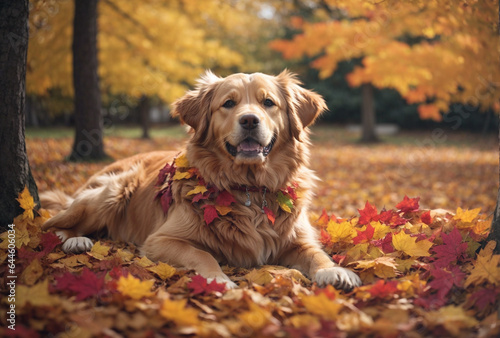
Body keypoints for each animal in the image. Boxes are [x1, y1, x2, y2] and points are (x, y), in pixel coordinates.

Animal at [41, 70, 362, 290]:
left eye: (268, 102)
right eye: (228, 103)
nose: (249, 120)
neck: (249, 188)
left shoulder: (297, 238)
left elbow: (316, 253)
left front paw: (333, 271)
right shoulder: (161, 240)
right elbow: (202, 254)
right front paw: (218, 280)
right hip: (114, 189)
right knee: (51, 224)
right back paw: (75, 240)